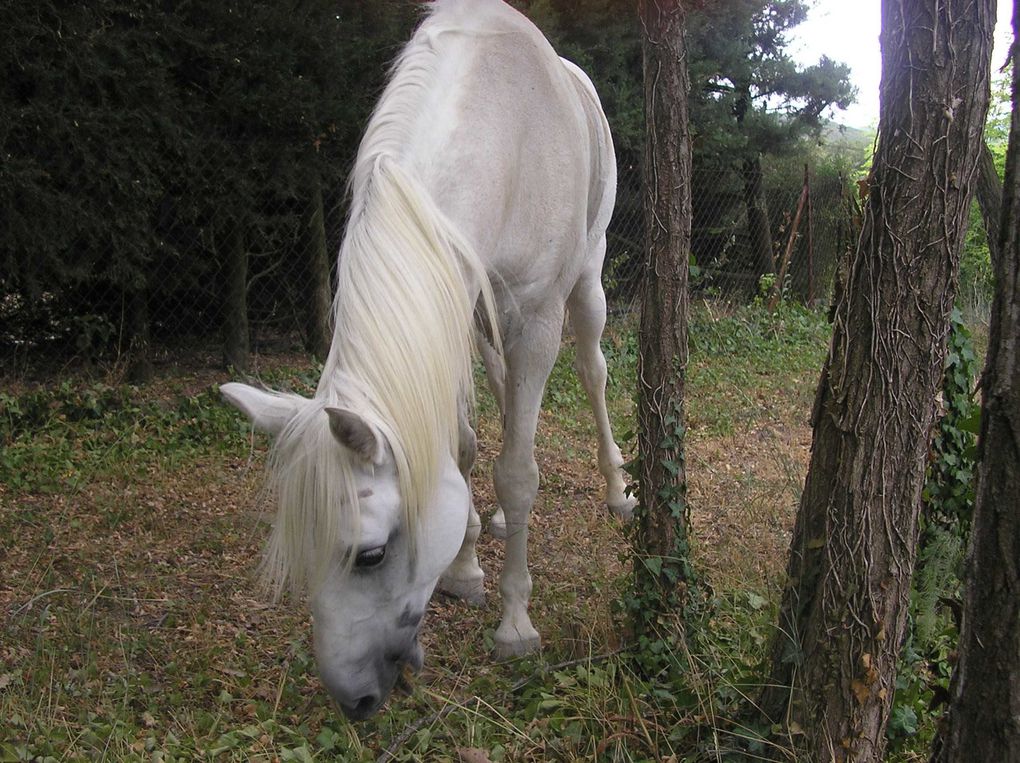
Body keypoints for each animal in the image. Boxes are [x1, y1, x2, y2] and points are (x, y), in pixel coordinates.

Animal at [221, 0, 628, 722]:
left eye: (370, 554)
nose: (351, 696)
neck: (505, 136)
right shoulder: (453, 310)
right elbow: (462, 451)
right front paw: (464, 568)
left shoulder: (536, 317)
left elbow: (517, 471)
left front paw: (514, 624)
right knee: (505, 394)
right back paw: (500, 521)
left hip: (587, 280)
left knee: (593, 371)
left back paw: (616, 489)